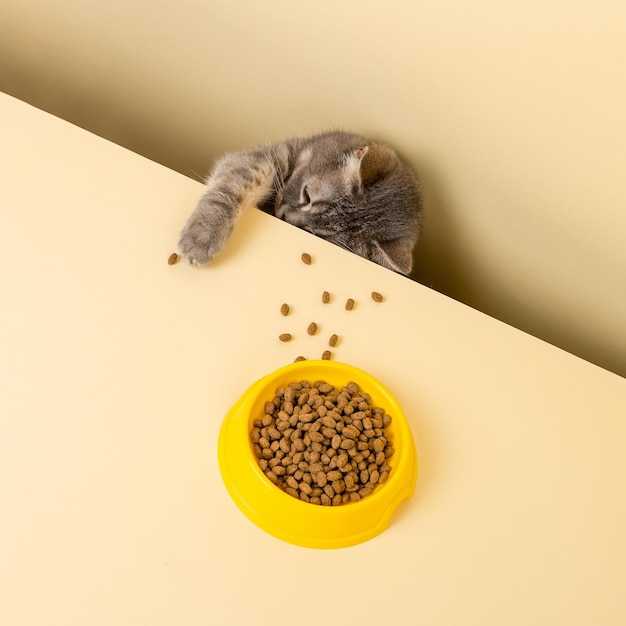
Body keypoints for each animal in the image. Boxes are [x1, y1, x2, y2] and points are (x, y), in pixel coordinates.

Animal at [177, 132, 420, 272]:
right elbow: (232, 189)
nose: (285, 217)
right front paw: (203, 236)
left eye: (315, 234)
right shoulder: (264, 159)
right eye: (307, 195)